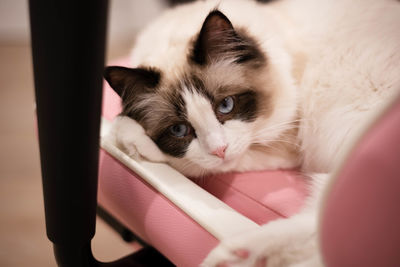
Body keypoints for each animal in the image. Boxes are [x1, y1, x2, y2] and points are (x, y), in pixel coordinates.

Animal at [103, 0, 400, 266]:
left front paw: (123, 132)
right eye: (179, 130)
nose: (219, 150)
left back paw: (229, 255)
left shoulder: (282, 143)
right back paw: (243, 256)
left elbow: (189, 164)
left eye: (226, 105)